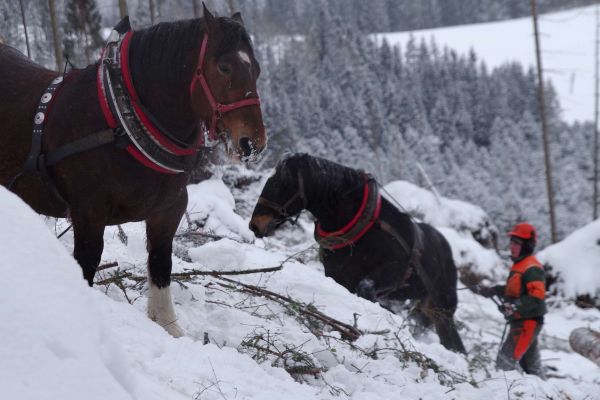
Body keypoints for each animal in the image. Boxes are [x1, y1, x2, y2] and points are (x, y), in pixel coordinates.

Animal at [0, 6, 266, 338]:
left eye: (257, 69)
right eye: (225, 67)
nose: (253, 143)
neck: (121, 120)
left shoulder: (168, 210)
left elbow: (160, 265)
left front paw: (169, 328)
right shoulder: (88, 213)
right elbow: (86, 265)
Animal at [251, 154, 466, 354]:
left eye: (280, 182)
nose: (255, 225)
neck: (363, 226)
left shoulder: (393, 273)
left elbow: (365, 290)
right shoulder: (339, 276)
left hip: (443, 309)